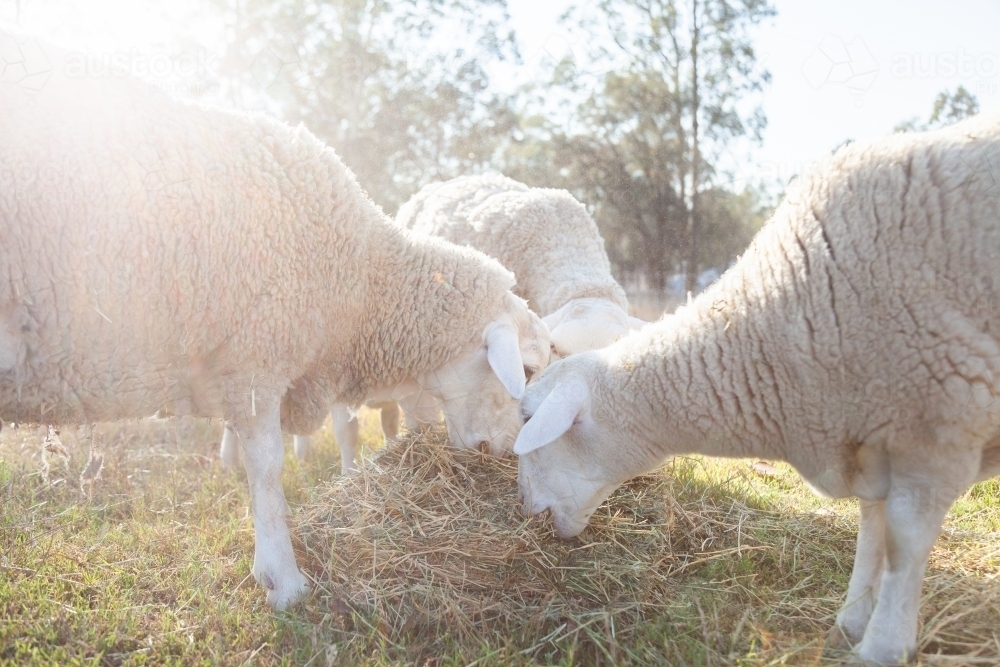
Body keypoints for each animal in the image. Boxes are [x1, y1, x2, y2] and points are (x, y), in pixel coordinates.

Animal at [0, 30, 548, 612]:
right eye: (527, 370)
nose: (508, 454)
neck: (360, 281)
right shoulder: (255, 357)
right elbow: (266, 468)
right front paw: (282, 580)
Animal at [512, 112, 1000, 664]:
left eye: (529, 420)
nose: (524, 509)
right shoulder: (875, 432)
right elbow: (871, 529)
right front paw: (851, 622)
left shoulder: (936, 427)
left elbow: (902, 541)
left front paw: (881, 645)